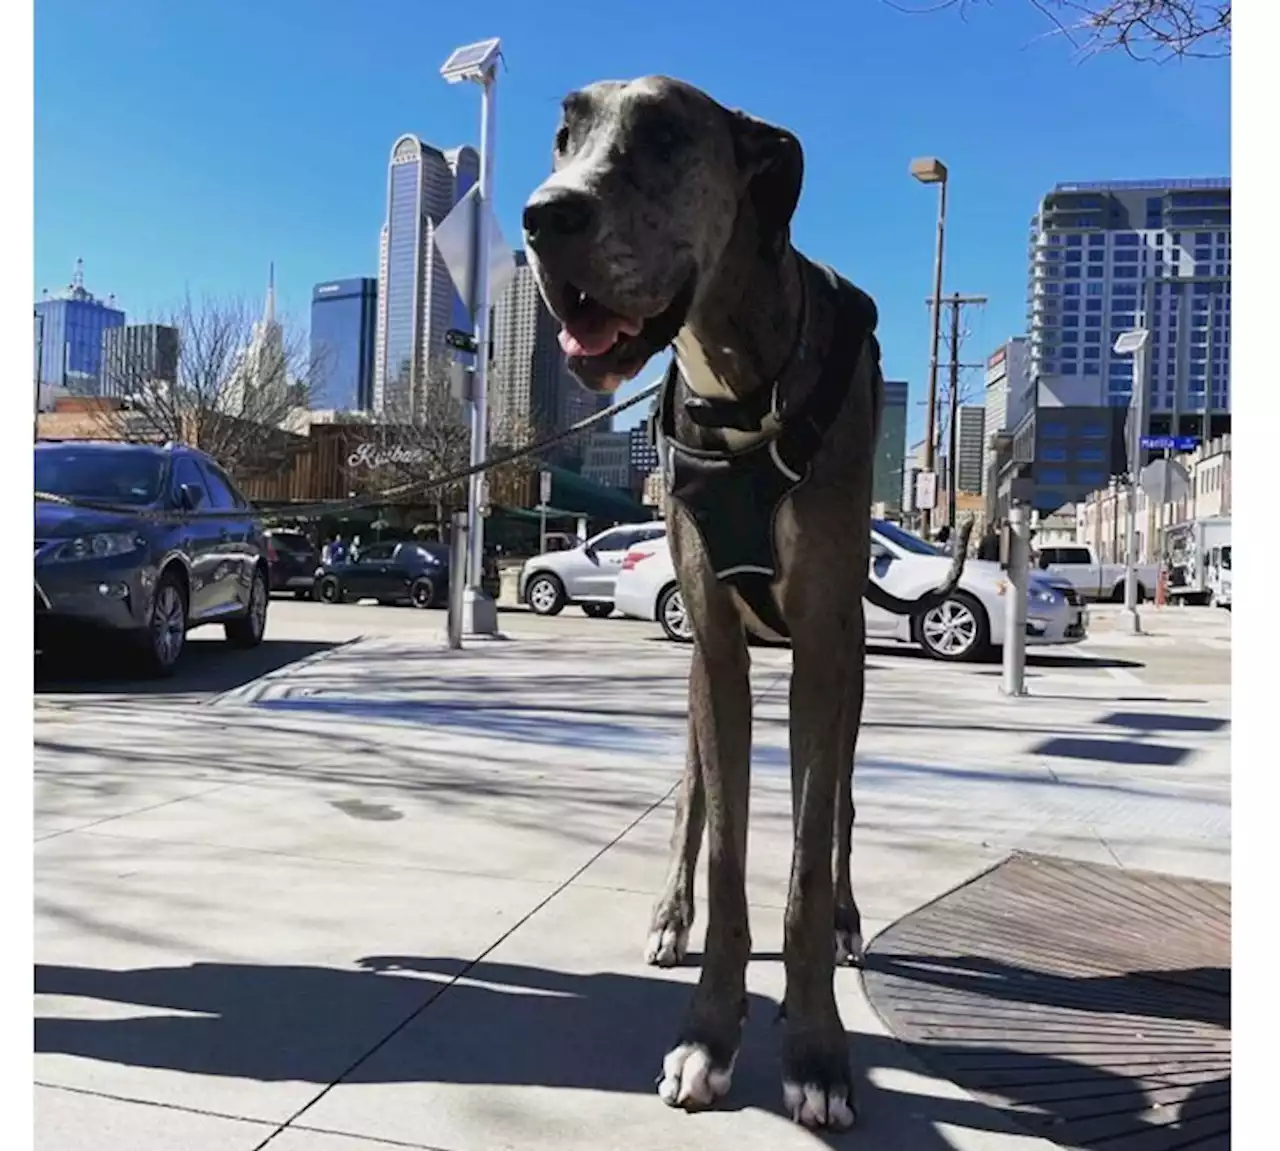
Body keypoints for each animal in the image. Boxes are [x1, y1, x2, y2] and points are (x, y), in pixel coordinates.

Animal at [519, 78, 967, 1131]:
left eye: (668, 135)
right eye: (564, 134)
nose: (543, 215)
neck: (737, 386)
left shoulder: (825, 651)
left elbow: (804, 856)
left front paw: (818, 1052)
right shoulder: (716, 649)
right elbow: (726, 852)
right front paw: (707, 1035)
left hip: (846, 683)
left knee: (839, 811)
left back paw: (844, 919)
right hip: (697, 683)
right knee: (690, 800)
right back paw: (669, 914)